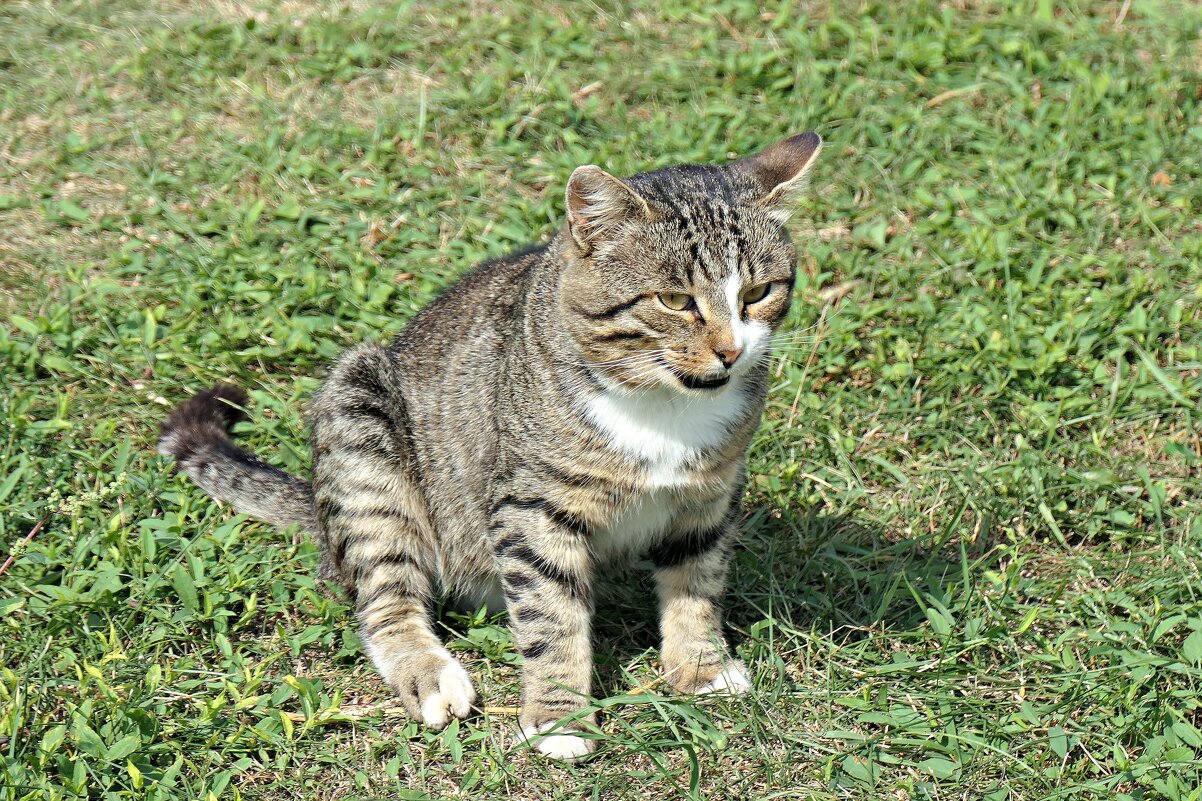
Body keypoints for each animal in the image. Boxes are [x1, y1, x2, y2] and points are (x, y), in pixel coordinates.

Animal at [157, 129, 817, 755]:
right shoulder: (532, 507)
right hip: (360, 414)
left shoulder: (713, 493)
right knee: (383, 594)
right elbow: (551, 614)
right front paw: (559, 718)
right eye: (676, 301)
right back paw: (431, 675)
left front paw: (699, 667)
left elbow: (696, 583)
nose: (732, 351)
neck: (667, 405)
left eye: (756, 294)